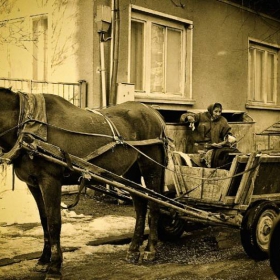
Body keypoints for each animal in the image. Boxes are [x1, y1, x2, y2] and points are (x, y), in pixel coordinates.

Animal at [0, 87, 166, 278]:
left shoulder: (50, 181)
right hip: (131, 172)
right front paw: (43, 260)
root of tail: (152, 111)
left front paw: (54, 267)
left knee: (154, 205)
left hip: (151, 167)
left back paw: (150, 250)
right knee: (140, 205)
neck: (27, 125)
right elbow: (44, 221)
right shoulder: (34, 185)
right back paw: (133, 249)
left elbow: (54, 222)